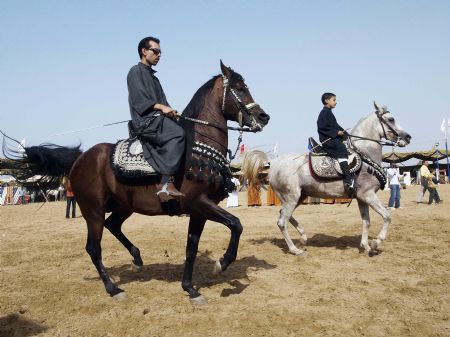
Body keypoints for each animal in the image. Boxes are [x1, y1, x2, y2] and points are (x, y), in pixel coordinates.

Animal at [3, 61, 268, 302]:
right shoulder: (199, 203)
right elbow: (236, 224)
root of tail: (80, 158)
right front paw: (222, 263)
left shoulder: (199, 211)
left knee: (113, 226)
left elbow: (191, 248)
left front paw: (190, 288)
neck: (198, 147)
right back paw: (113, 288)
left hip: (123, 206)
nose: (263, 117)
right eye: (239, 88)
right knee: (93, 247)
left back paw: (137, 258)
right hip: (93, 210)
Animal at [243, 102, 412, 255]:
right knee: (282, 222)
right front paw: (376, 243)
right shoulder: (368, 195)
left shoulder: (361, 198)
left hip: (298, 196)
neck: (365, 154)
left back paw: (303, 237)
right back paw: (295, 249)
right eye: (391, 119)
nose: (408, 137)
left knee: (284, 215)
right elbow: (387, 216)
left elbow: (366, 221)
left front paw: (365, 246)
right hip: (291, 197)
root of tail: (272, 164)